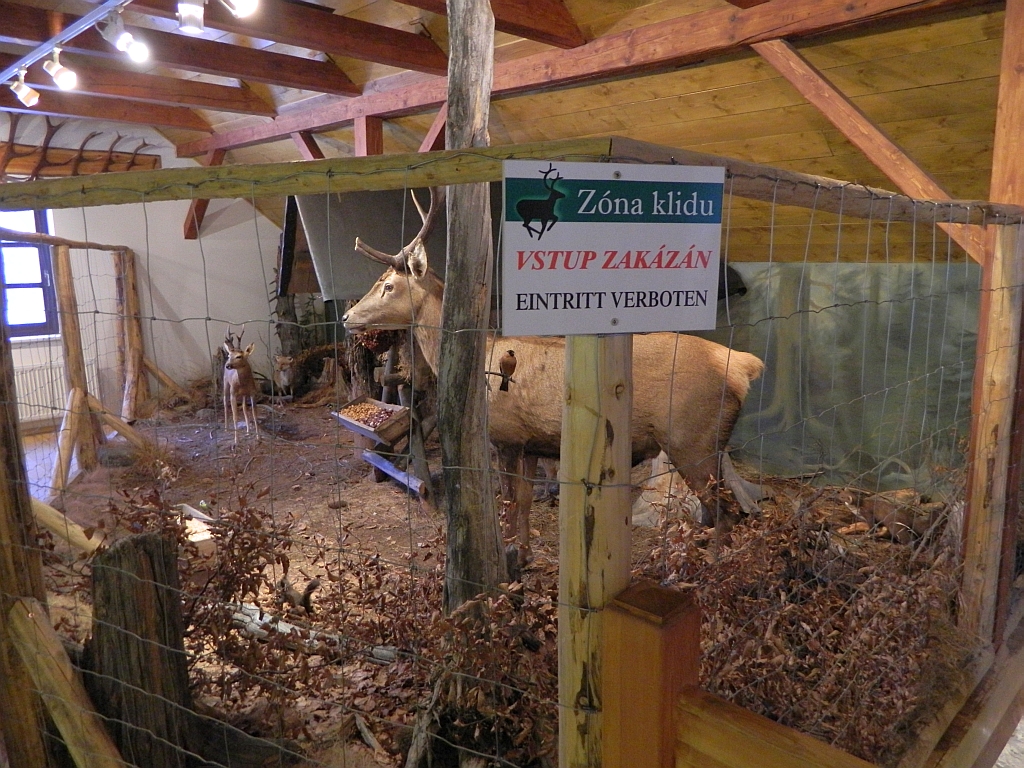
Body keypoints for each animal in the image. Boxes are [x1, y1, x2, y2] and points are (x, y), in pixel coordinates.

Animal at [343, 188, 765, 565]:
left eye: (388, 285)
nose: (347, 316)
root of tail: (745, 366)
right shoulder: (530, 443)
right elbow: (528, 499)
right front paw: (526, 553)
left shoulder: (507, 435)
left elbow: (511, 500)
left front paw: (510, 559)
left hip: (692, 437)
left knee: (728, 511)